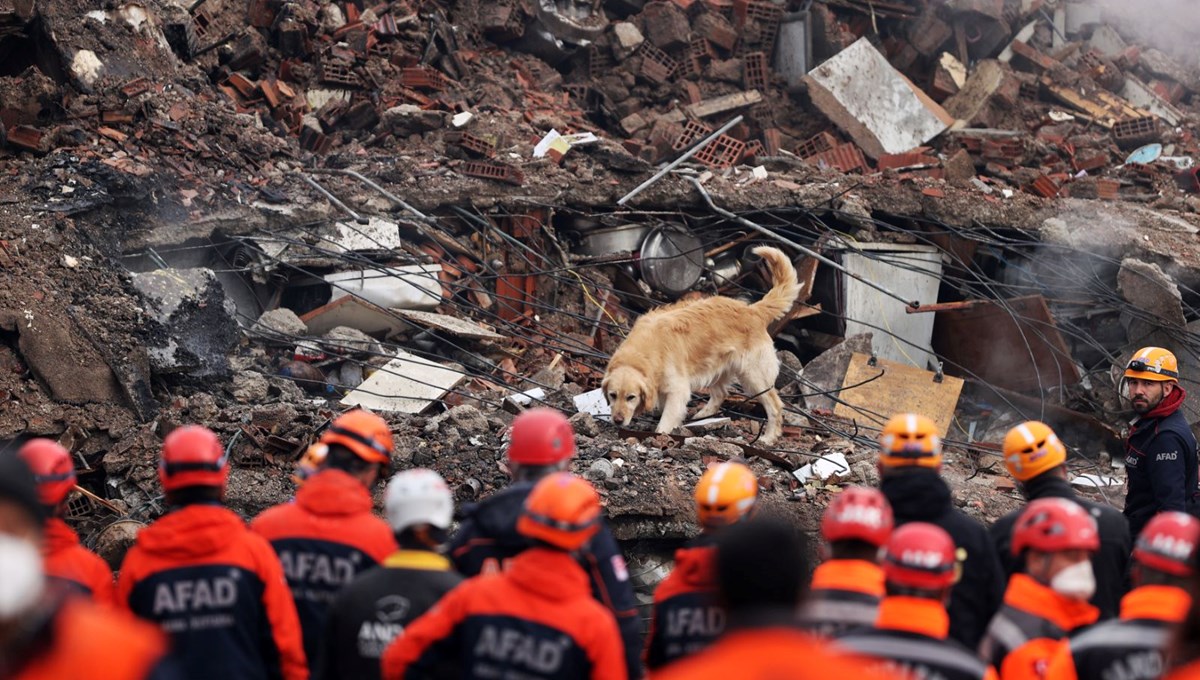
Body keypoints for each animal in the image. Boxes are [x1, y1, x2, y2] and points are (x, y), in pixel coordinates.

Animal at [604, 244, 801, 446]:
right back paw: (703, 416)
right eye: (612, 395)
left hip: (754, 376)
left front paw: (660, 435)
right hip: (715, 365)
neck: (645, 350)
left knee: (774, 405)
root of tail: (753, 310)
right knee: (721, 394)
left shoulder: (678, 390)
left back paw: (768, 437)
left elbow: (667, 419)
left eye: (631, 397)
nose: (617, 420)